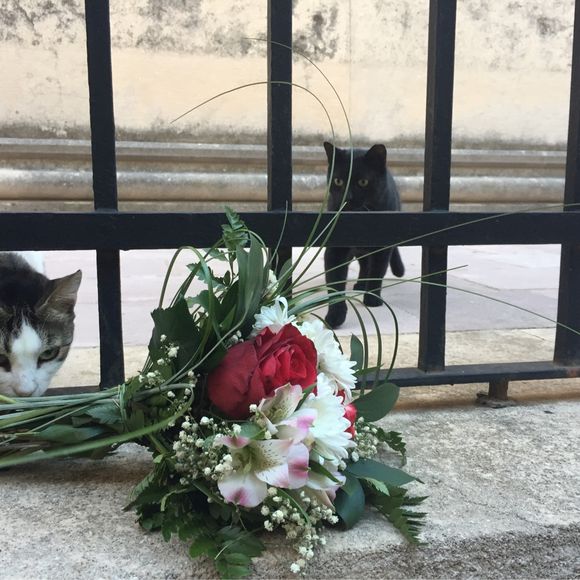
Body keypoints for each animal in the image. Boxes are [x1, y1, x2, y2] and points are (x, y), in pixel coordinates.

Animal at [323, 142, 405, 329]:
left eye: (363, 182)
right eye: (338, 181)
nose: (347, 198)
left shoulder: (382, 248)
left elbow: (377, 270)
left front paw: (372, 298)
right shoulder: (335, 249)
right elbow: (335, 281)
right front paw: (335, 315)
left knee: (369, 265)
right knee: (364, 264)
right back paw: (360, 283)